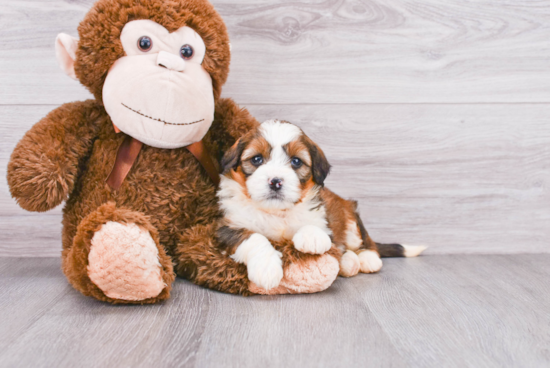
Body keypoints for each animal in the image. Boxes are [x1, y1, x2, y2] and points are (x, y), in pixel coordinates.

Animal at [216, 120, 426, 290]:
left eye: (296, 161)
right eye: (257, 159)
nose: (275, 182)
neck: (277, 212)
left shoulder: (323, 217)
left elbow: (318, 226)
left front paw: (312, 237)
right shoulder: (227, 226)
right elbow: (254, 238)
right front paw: (266, 268)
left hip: (351, 219)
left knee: (364, 242)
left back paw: (367, 258)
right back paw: (349, 262)